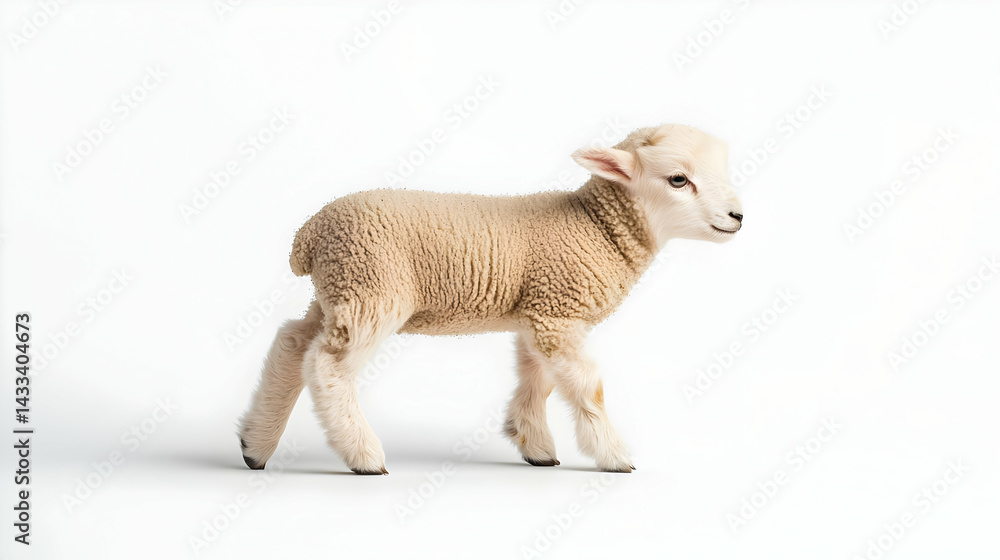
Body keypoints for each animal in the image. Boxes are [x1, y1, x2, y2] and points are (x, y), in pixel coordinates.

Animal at [238, 123, 743, 474]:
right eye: (678, 179)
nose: (738, 215)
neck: (597, 228)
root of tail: (310, 234)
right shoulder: (557, 312)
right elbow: (588, 386)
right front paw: (614, 455)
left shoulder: (538, 313)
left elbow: (538, 380)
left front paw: (534, 445)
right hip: (372, 289)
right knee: (327, 366)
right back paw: (362, 455)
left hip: (338, 291)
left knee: (291, 344)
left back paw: (255, 444)